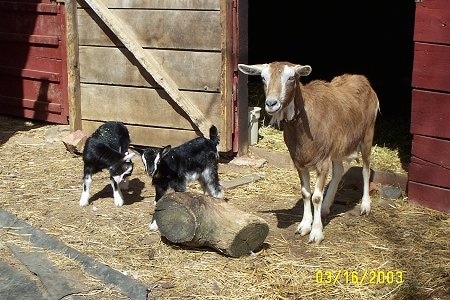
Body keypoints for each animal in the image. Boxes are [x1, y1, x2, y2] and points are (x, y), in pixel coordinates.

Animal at [239, 61, 380, 244]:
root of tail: (361, 79)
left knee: (366, 168)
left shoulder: (323, 161)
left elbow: (316, 197)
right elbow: (306, 193)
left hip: (367, 134)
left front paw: (316, 233)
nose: (271, 103)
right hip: (336, 147)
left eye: (291, 78)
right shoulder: (299, 161)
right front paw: (304, 226)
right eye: (263, 78)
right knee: (339, 171)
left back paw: (365, 206)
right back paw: (327, 207)